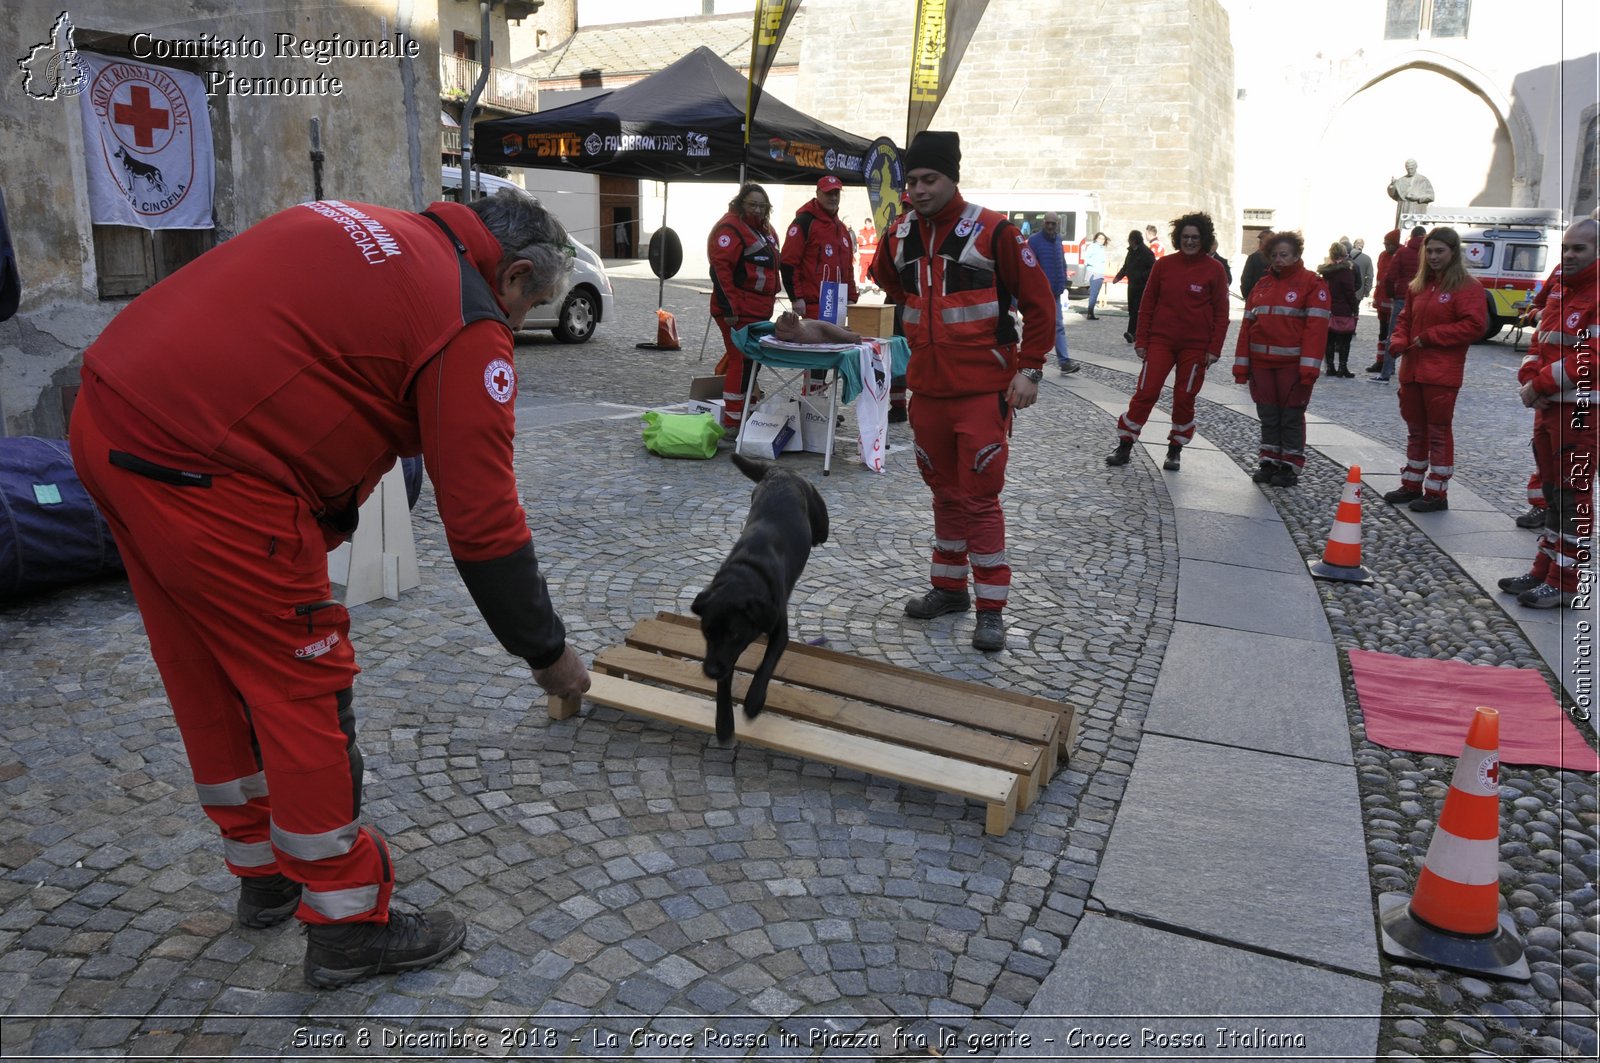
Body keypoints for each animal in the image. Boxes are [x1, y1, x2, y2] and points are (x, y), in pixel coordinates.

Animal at [691, 451, 832, 742]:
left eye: (734, 634)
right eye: (706, 632)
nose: (709, 671)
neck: (745, 574)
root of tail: (778, 470)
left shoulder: (778, 631)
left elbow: (765, 666)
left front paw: (754, 701)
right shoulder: (722, 654)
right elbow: (725, 682)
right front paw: (724, 723)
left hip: (821, 522)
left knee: (821, 533)